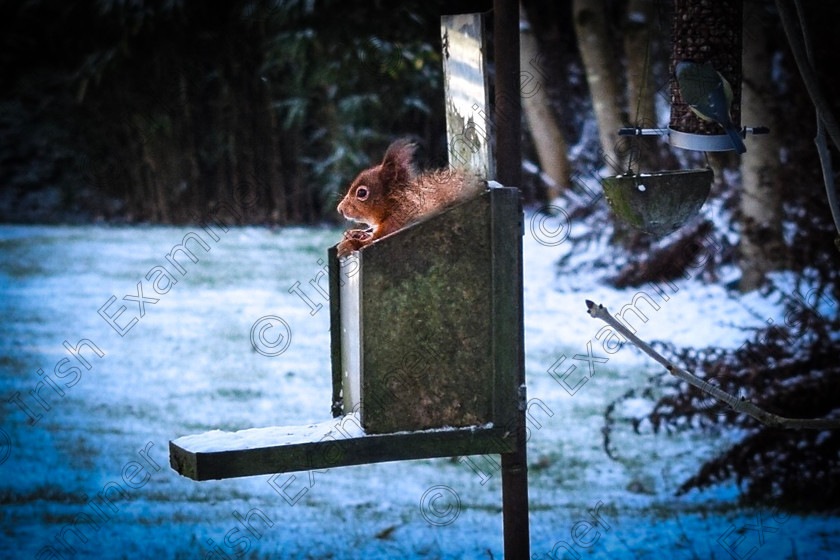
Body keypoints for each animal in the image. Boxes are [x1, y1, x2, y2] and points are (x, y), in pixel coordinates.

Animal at [334, 139, 482, 258]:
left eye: (362, 192)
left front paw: (350, 244)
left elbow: (373, 240)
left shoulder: (395, 224)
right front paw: (355, 233)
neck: (395, 205)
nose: (340, 209)